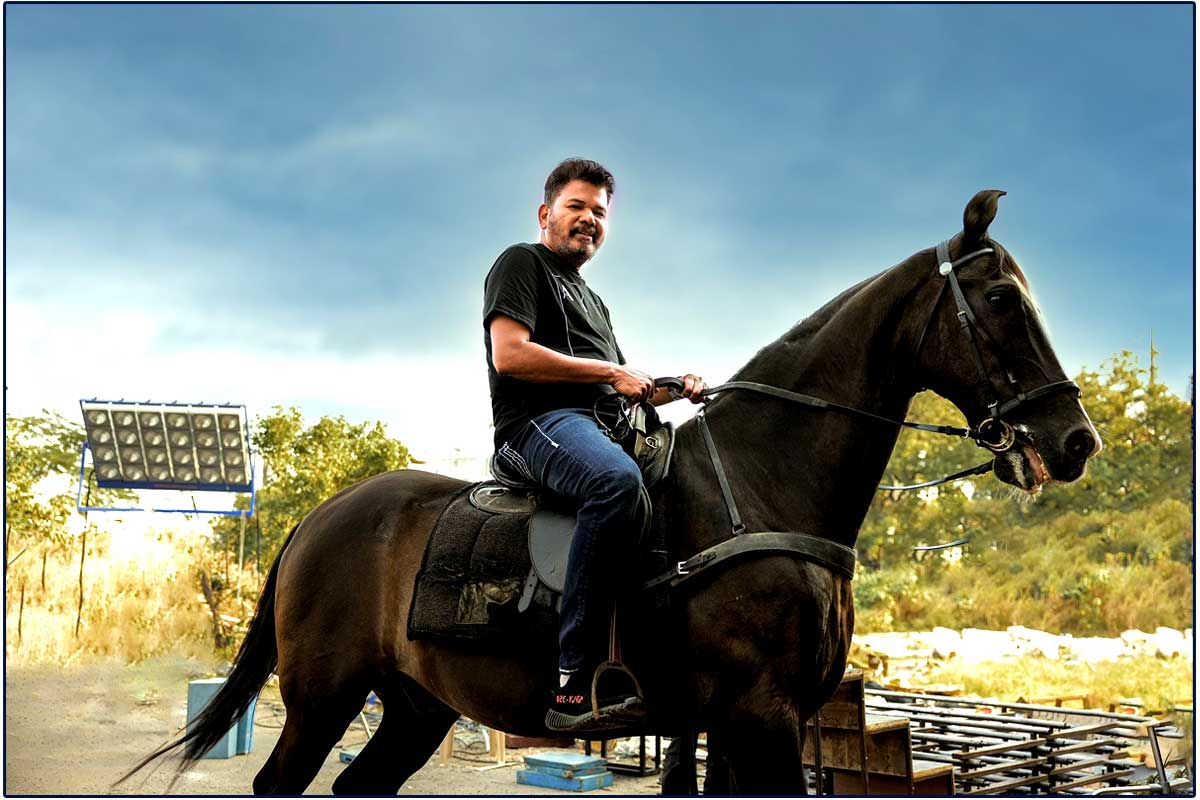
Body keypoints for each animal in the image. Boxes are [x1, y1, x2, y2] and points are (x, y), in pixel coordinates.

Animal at [126, 191, 1099, 796]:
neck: (763, 485)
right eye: (1002, 299)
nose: (1075, 441)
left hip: (414, 707)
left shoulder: (733, 724)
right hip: (326, 695)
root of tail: (316, 522)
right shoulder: (761, 717)